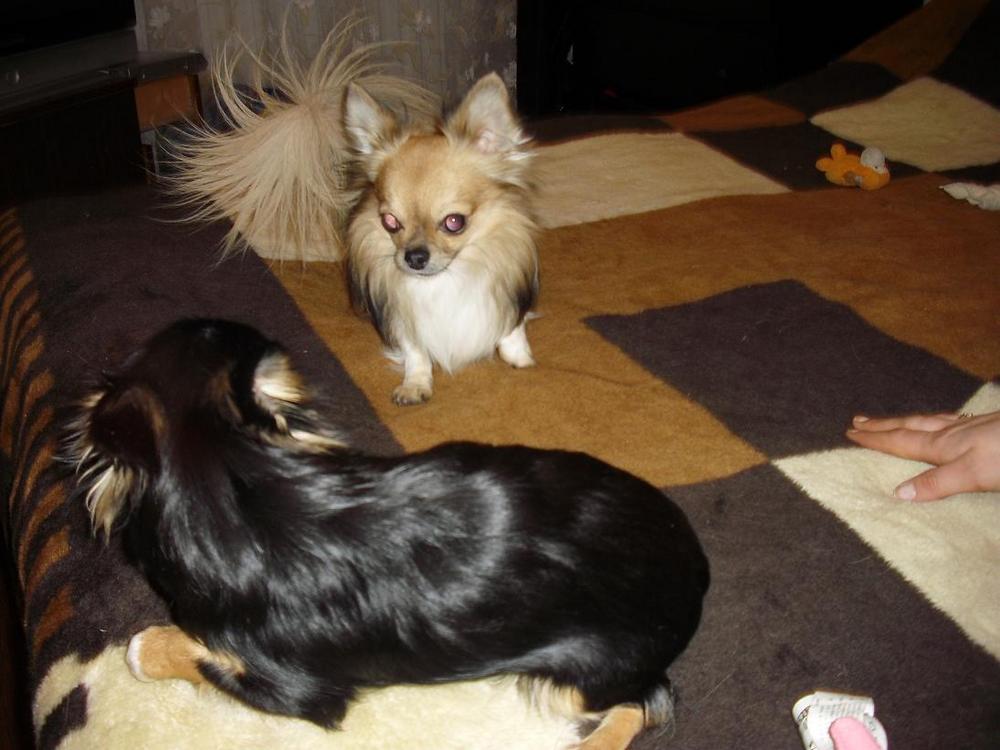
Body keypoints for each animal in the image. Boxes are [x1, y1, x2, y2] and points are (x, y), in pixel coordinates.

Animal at [67, 318, 709, 750]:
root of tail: (695, 566)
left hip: (588, 672)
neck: (231, 482)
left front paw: (147, 645)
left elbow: (186, 653)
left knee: (649, 700)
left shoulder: (297, 689)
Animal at [344, 72, 539, 405]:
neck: (446, 280)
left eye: (454, 222)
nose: (414, 257)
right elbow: (415, 350)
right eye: (390, 222)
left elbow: (510, 323)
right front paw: (415, 383)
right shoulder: (403, 317)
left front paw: (519, 356)